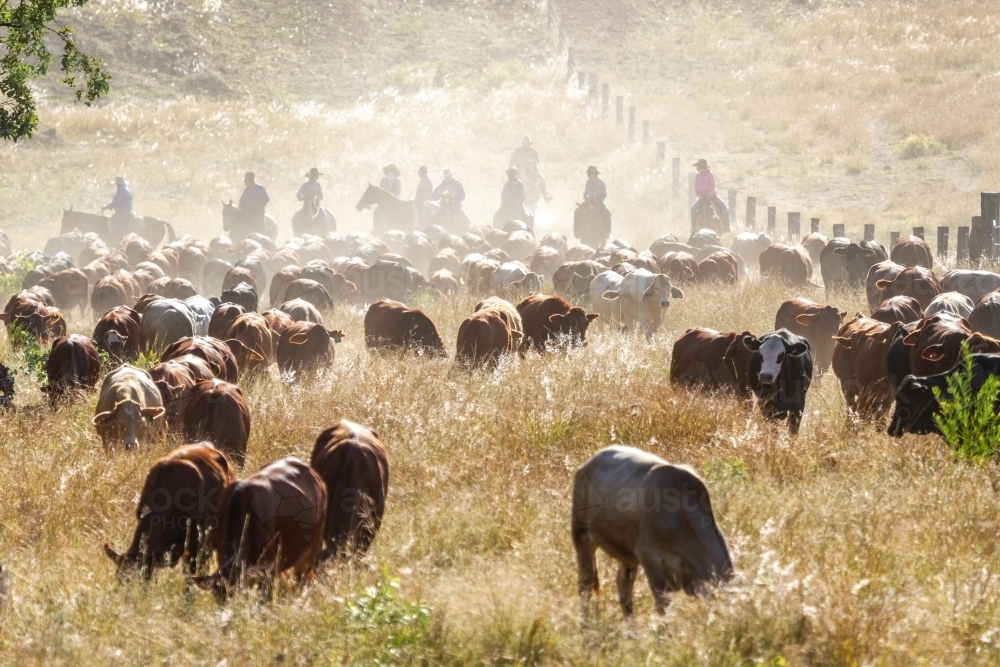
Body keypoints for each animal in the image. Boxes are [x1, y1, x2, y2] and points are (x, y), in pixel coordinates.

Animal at [571, 445, 732, 617]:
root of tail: (588, 463)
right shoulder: (650, 557)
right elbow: (662, 604)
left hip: (627, 554)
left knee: (623, 587)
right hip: (581, 536)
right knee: (585, 585)